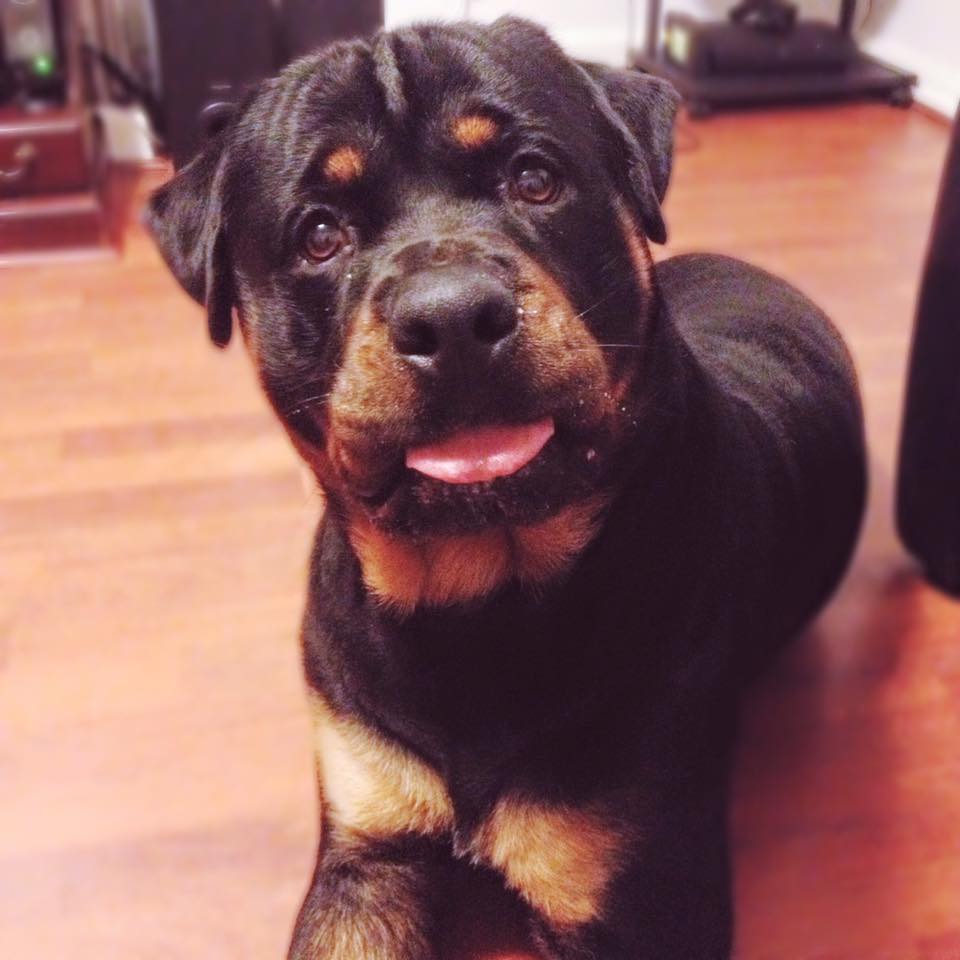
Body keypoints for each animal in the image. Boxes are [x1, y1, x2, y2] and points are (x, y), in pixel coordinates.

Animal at [148, 16, 872, 960]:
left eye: (534, 179)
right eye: (319, 233)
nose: (452, 314)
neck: (475, 601)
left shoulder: (637, 894)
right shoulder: (367, 845)